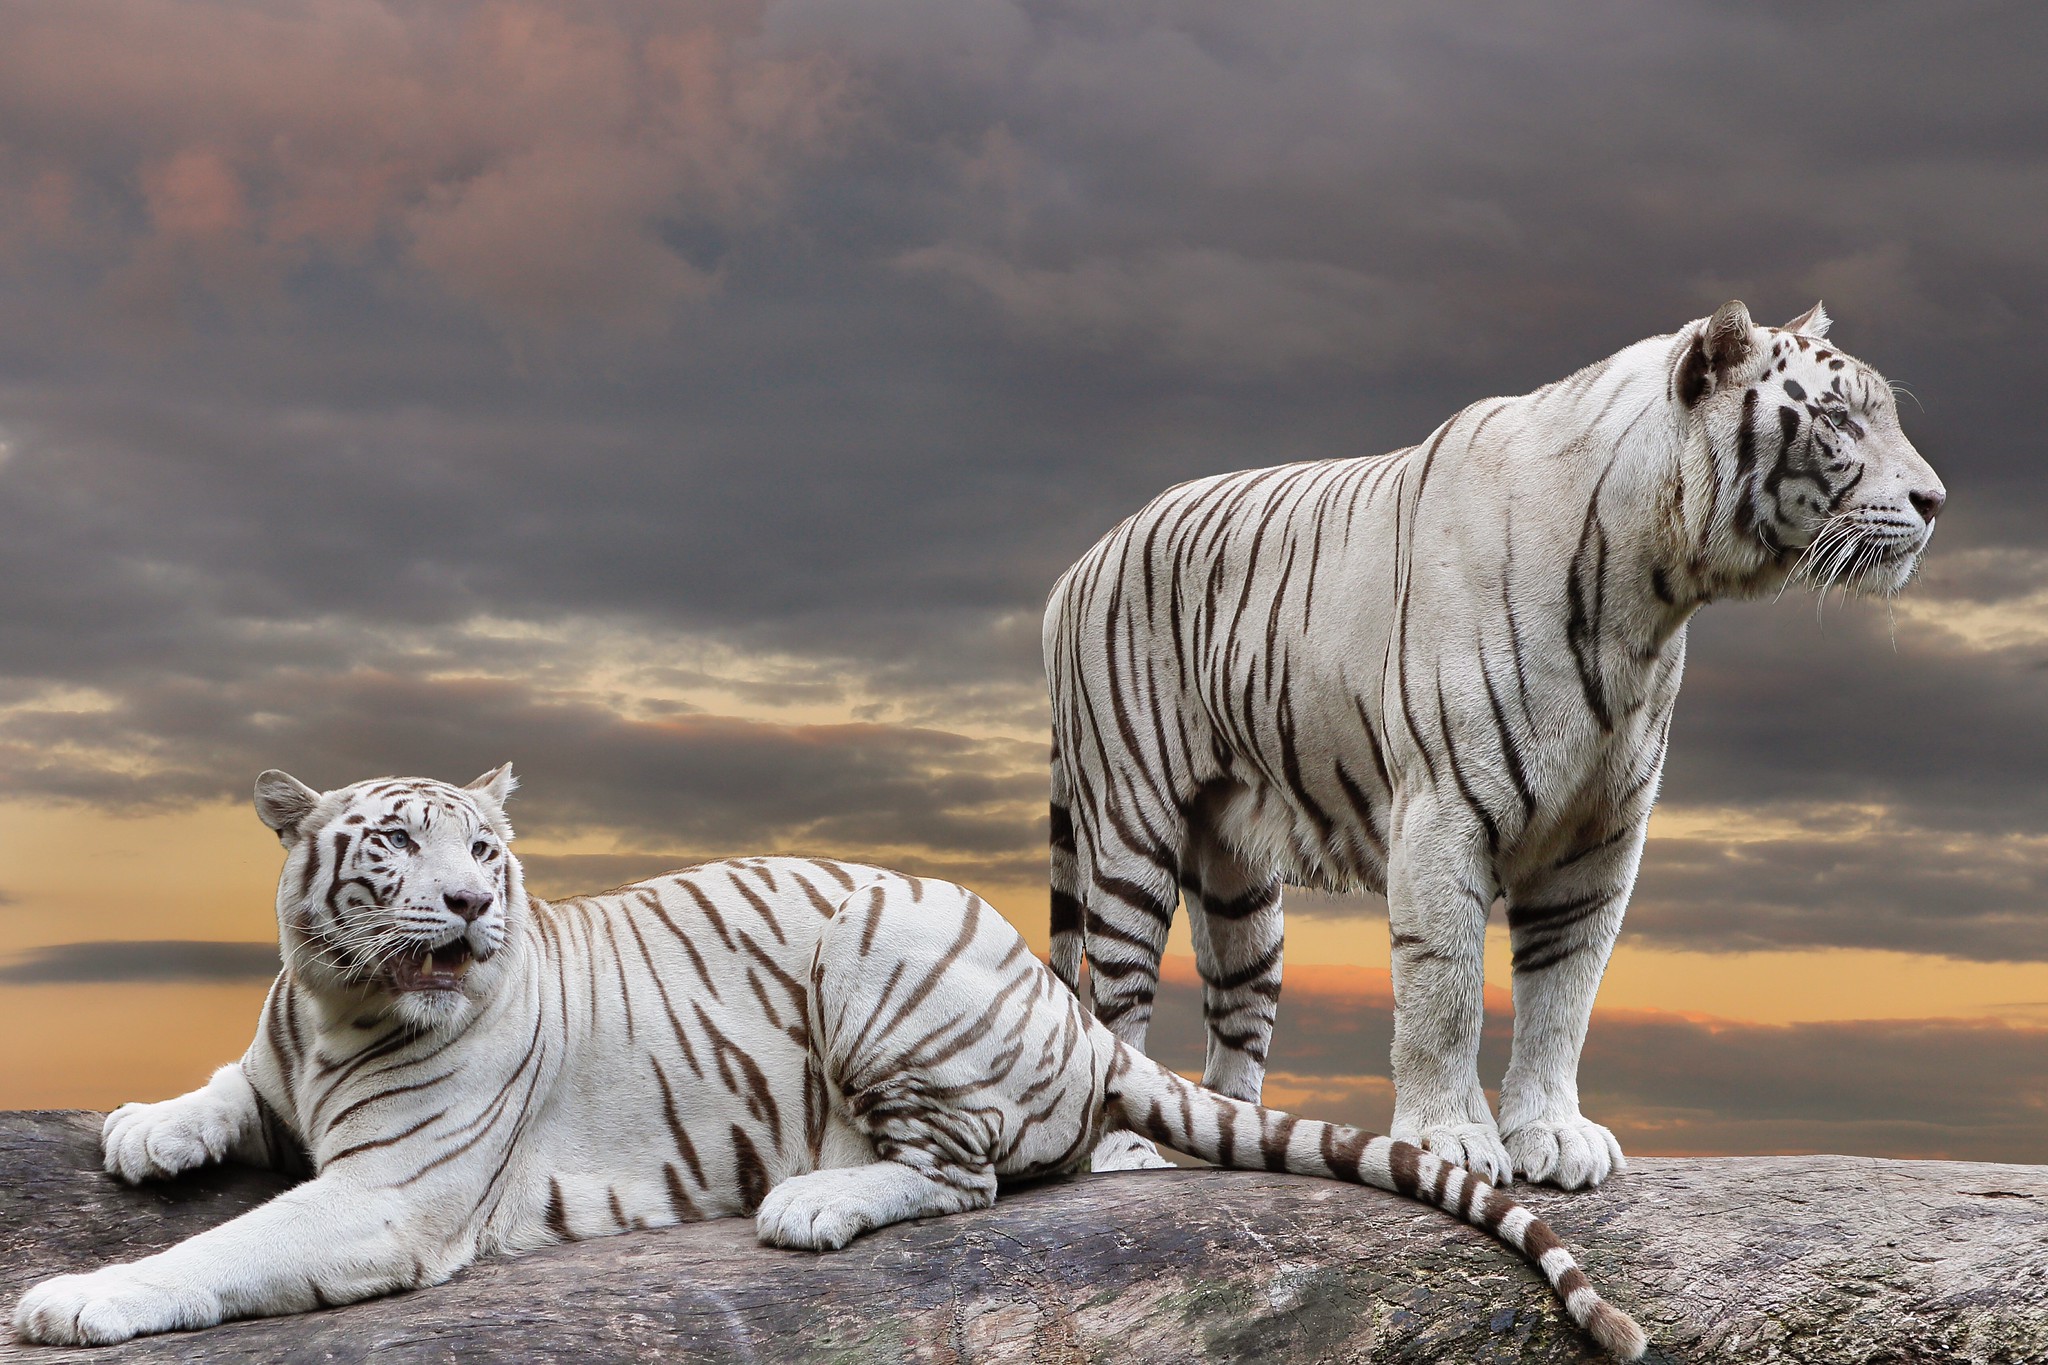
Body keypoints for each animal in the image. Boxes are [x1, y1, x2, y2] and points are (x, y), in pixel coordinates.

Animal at [12, 769, 1646, 1358]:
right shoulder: (283, 1058)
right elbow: (223, 1094)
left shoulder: (387, 1200)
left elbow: (227, 1250)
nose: (470, 909)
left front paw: (75, 1297)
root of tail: (1055, 1000)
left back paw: (816, 1201)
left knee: (971, 1174)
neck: (342, 1005)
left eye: (488, 854)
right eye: (399, 848)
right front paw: (147, 1128)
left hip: (873, 962)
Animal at [1048, 298, 1941, 1186]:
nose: (1934, 500)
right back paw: (1126, 1153)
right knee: (1115, 995)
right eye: (1838, 420)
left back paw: (1240, 1141)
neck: (1648, 597)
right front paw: (1451, 1139)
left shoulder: (1599, 836)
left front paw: (1554, 1132)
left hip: (1240, 877)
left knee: (1236, 1002)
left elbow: (1563, 995)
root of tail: (1081, 564)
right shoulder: (1441, 811)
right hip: (1131, 830)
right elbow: (1446, 990)